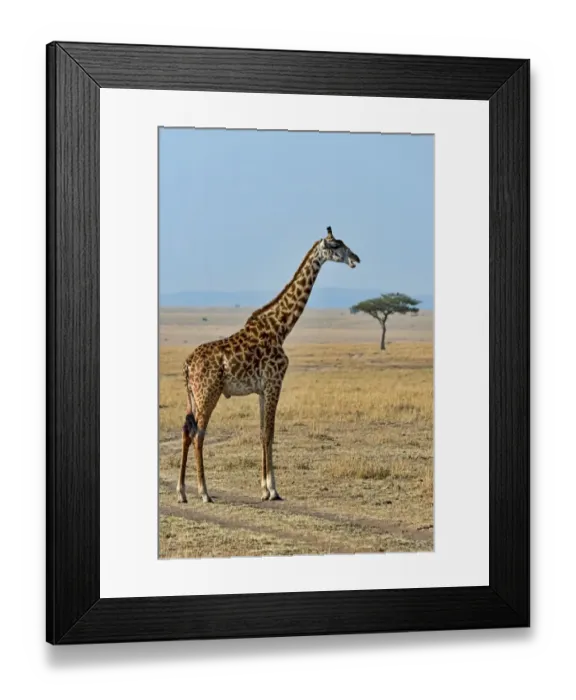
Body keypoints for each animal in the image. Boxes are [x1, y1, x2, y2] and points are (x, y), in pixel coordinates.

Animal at [177, 226, 360, 504]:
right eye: (336, 245)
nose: (356, 259)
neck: (280, 328)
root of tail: (187, 365)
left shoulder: (263, 389)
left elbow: (263, 432)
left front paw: (264, 489)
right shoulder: (275, 382)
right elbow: (270, 433)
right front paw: (273, 490)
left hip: (193, 396)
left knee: (187, 431)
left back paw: (182, 492)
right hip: (208, 393)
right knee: (199, 434)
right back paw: (204, 493)